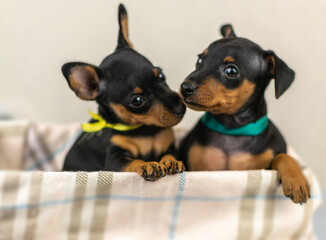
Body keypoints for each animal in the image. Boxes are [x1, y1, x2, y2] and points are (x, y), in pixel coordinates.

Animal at [60, 3, 183, 181]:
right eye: (137, 101)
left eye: (160, 75)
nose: (182, 108)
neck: (145, 130)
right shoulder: (115, 160)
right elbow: (134, 161)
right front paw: (150, 165)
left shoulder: (171, 147)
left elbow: (170, 154)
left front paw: (171, 162)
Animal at [180, 25, 310, 203]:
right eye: (200, 60)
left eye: (231, 71)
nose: (185, 88)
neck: (232, 130)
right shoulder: (195, 169)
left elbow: (283, 156)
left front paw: (296, 180)